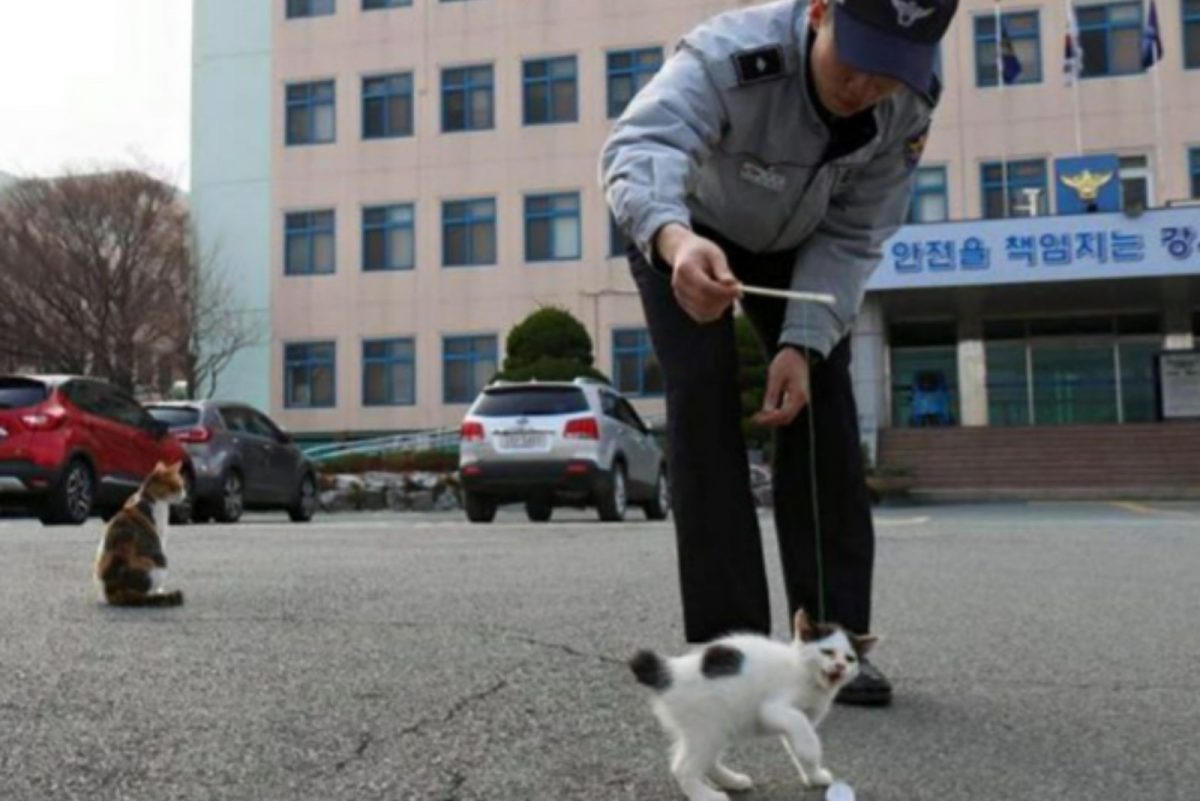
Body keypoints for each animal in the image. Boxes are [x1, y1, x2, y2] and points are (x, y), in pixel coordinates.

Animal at [96, 462, 186, 606]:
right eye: (178, 485)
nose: (184, 494)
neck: (148, 496)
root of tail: (116, 590)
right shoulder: (160, 537)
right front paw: (161, 591)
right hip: (160, 562)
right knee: (146, 594)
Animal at [633, 606, 878, 801]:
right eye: (827, 652)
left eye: (850, 659)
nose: (840, 667)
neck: (804, 674)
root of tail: (670, 671)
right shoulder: (773, 708)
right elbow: (799, 723)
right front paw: (811, 750)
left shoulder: (798, 722)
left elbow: (797, 743)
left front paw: (814, 776)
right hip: (708, 724)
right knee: (682, 768)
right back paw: (706, 795)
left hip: (713, 728)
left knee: (706, 761)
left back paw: (732, 781)